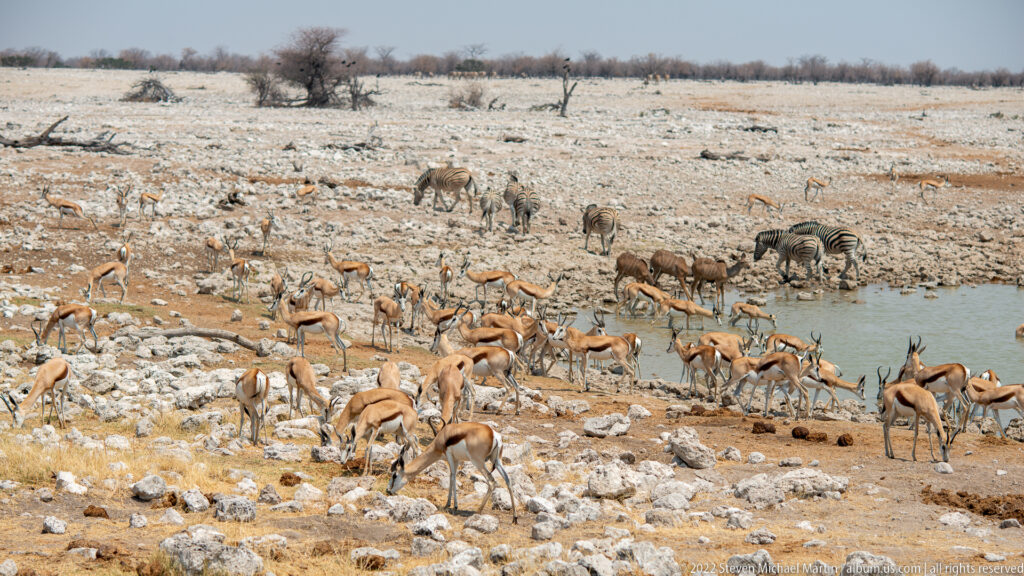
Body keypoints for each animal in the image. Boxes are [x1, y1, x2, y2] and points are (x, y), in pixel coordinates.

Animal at [386, 422, 518, 524]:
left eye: (394, 475)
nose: (388, 490)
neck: (444, 437)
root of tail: (493, 434)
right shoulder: (457, 459)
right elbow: (450, 477)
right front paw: (447, 504)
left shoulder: (449, 456)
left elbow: (453, 477)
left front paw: (455, 506)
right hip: (496, 461)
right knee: (508, 480)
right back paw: (514, 518)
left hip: (478, 462)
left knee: (491, 482)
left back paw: (478, 511)